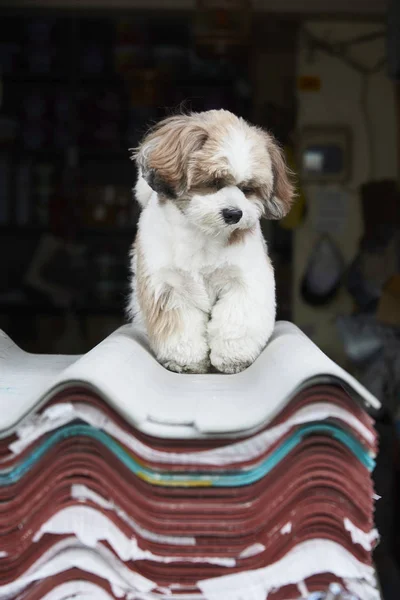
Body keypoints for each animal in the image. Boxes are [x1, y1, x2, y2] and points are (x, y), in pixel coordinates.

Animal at [128, 109, 294, 372]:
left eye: (248, 189)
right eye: (213, 182)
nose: (234, 213)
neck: (203, 234)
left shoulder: (244, 281)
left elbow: (236, 321)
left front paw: (232, 357)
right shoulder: (169, 287)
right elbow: (180, 328)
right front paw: (185, 361)